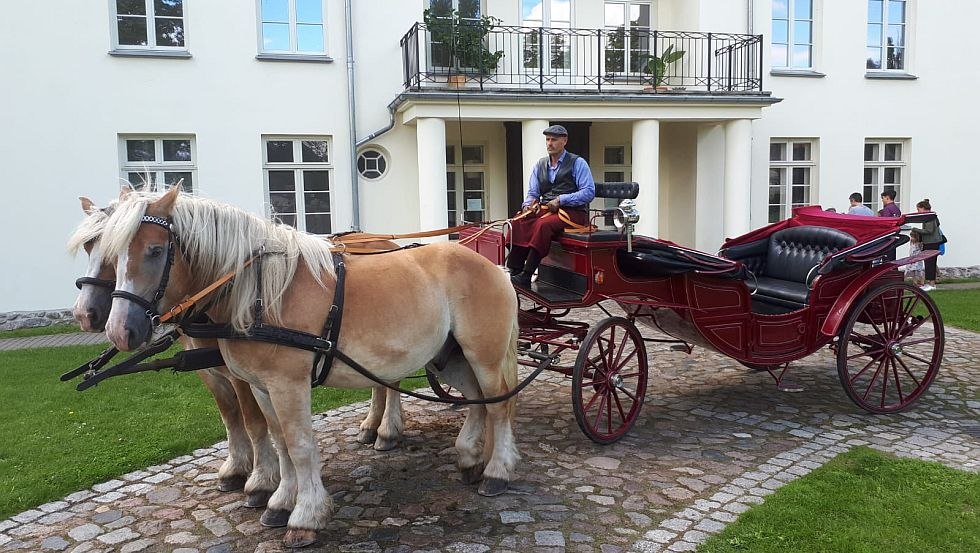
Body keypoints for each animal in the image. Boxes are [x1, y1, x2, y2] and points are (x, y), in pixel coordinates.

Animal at [101, 187, 520, 548]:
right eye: (110, 255)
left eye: (155, 250)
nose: (119, 330)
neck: (260, 294)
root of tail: (492, 267)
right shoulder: (261, 386)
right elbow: (279, 441)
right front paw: (280, 501)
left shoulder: (288, 383)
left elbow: (300, 446)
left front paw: (305, 516)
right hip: (448, 357)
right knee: (477, 401)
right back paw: (469, 458)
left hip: (483, 353)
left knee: (499, 405)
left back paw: (496, 471)